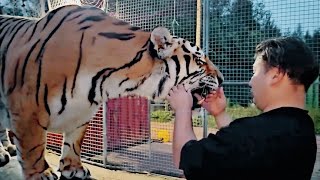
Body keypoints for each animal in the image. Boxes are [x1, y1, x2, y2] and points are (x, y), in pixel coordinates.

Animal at [0, 4, 224, 180]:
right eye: (201, 62)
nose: (222, 79)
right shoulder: (28, 110)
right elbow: (33, 148)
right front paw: (40, 174)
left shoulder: (81, 113)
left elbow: (74, 142)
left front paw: (73, 168)